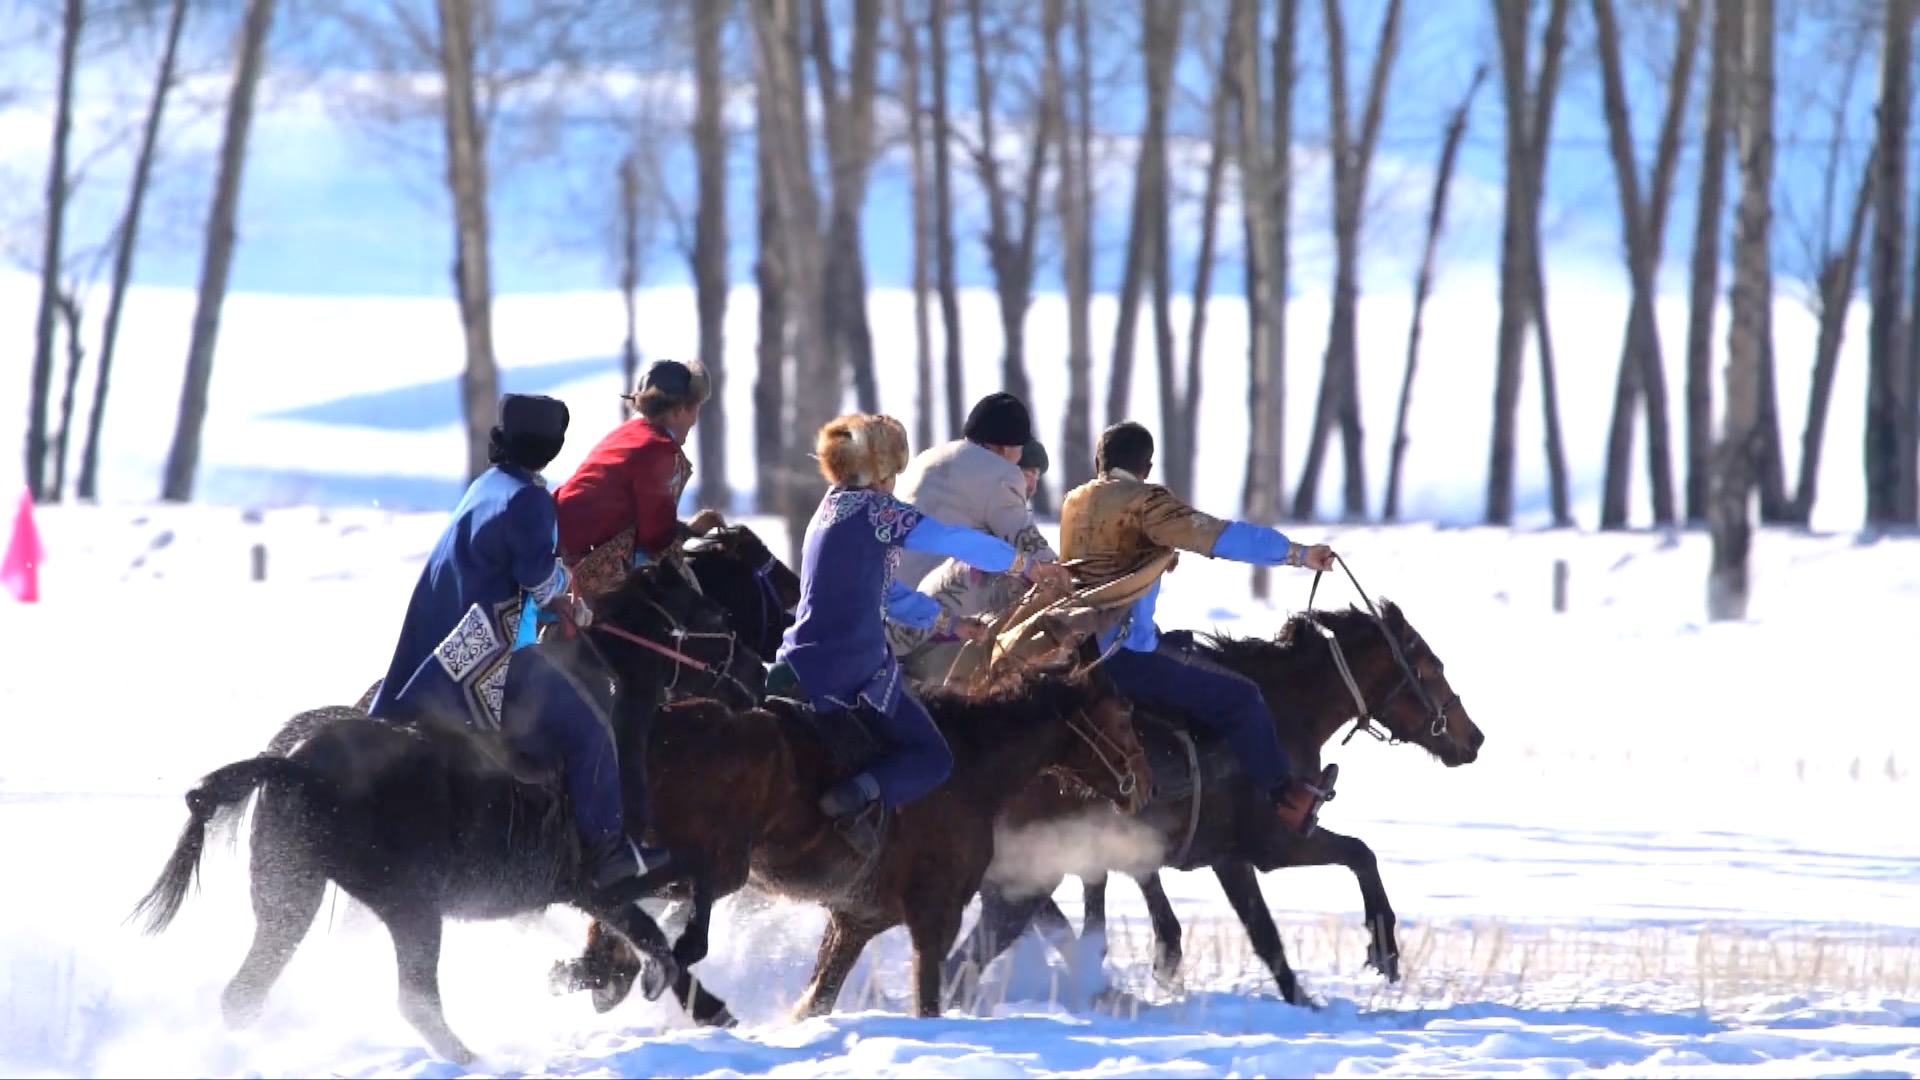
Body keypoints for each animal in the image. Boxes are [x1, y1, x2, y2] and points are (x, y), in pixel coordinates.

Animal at [128, 564, 767, 1066]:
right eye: (712, 610)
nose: (758, 675)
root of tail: (291, 767)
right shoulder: (613, 872)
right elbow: (689, 891)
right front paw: (677, 965)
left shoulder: (595, 890)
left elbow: (650, 927)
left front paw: (664, 987)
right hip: (410, 907)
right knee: (413, 999)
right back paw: (474, 1060)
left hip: (292, 894)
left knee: (247, 993)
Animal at [546, 655, 1155, 1026]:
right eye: (1124, 713)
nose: (1144, 785)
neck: (971, 765)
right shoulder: (935, 915)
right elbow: (928, 996)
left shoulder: (855, 920)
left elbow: (817, 998)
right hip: (718, 865)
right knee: (628, 902)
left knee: (613, 902)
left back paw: (606, 971)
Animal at [944, 598, 1484, 1008]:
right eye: (1430, 668)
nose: (1474, 738)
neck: (1283, 714)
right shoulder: (1274, 844)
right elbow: (1357, 855)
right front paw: (1383, 950)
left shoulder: (1225, 857)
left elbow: (1258, 930)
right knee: (982, 944)